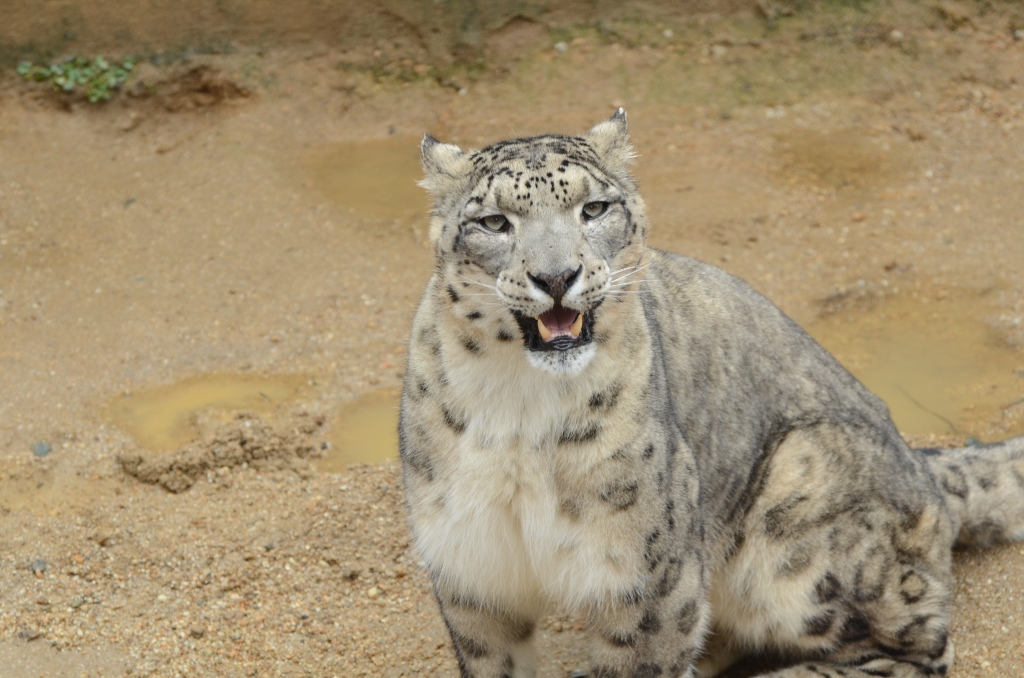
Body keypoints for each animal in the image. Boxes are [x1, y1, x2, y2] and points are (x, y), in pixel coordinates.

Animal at [397, 109, 1024, 675]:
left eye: (593, 209)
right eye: (494, 222)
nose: (556, 277)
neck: (520, 407)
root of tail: (921, 466)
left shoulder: (643, 578)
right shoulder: (471, 568)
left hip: (798, 529)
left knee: (914, 647)